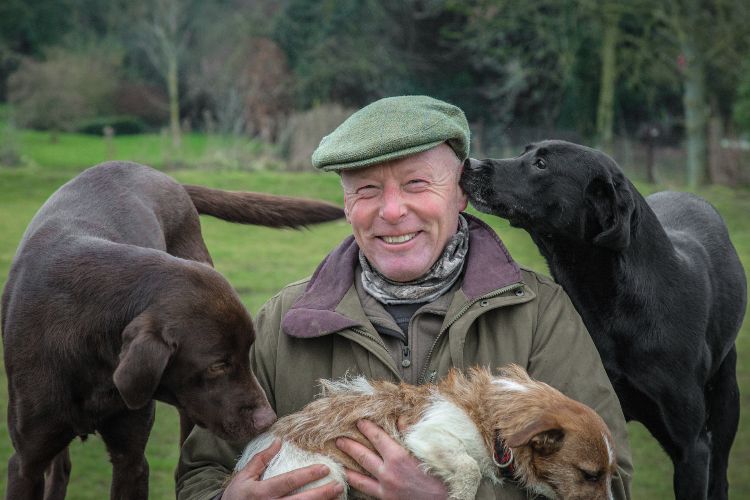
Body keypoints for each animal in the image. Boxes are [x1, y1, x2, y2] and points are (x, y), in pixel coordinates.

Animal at [0, 161, 346, 500]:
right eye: (217, 366)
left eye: (248, 353)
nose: (268, 420)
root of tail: (158, 174)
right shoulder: (25, 463)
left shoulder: (131, 459)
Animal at [238, 364, 620, 500]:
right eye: (589, 475)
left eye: (610, 475)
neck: (490, 419)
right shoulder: (427, 435)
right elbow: (469, 469)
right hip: (325, 478)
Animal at [462, 141, 748, 500]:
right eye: (527, 151)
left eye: (541, 164)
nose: (468, 163)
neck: (614, 304)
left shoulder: (691, 449)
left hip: (726, 403)